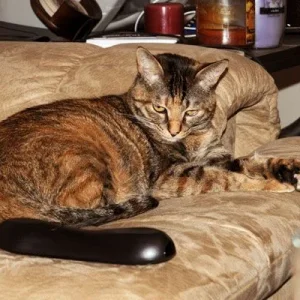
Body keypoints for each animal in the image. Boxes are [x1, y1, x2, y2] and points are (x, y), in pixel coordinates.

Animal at [0, 46, 298, 227]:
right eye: (159, 108)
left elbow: (253, 162)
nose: (173, 130)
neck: (194, 138)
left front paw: (288, 168)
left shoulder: (217, 157)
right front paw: (273, 185)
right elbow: (228, 178)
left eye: (190, 111)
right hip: (82, 158)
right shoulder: (174, 176)